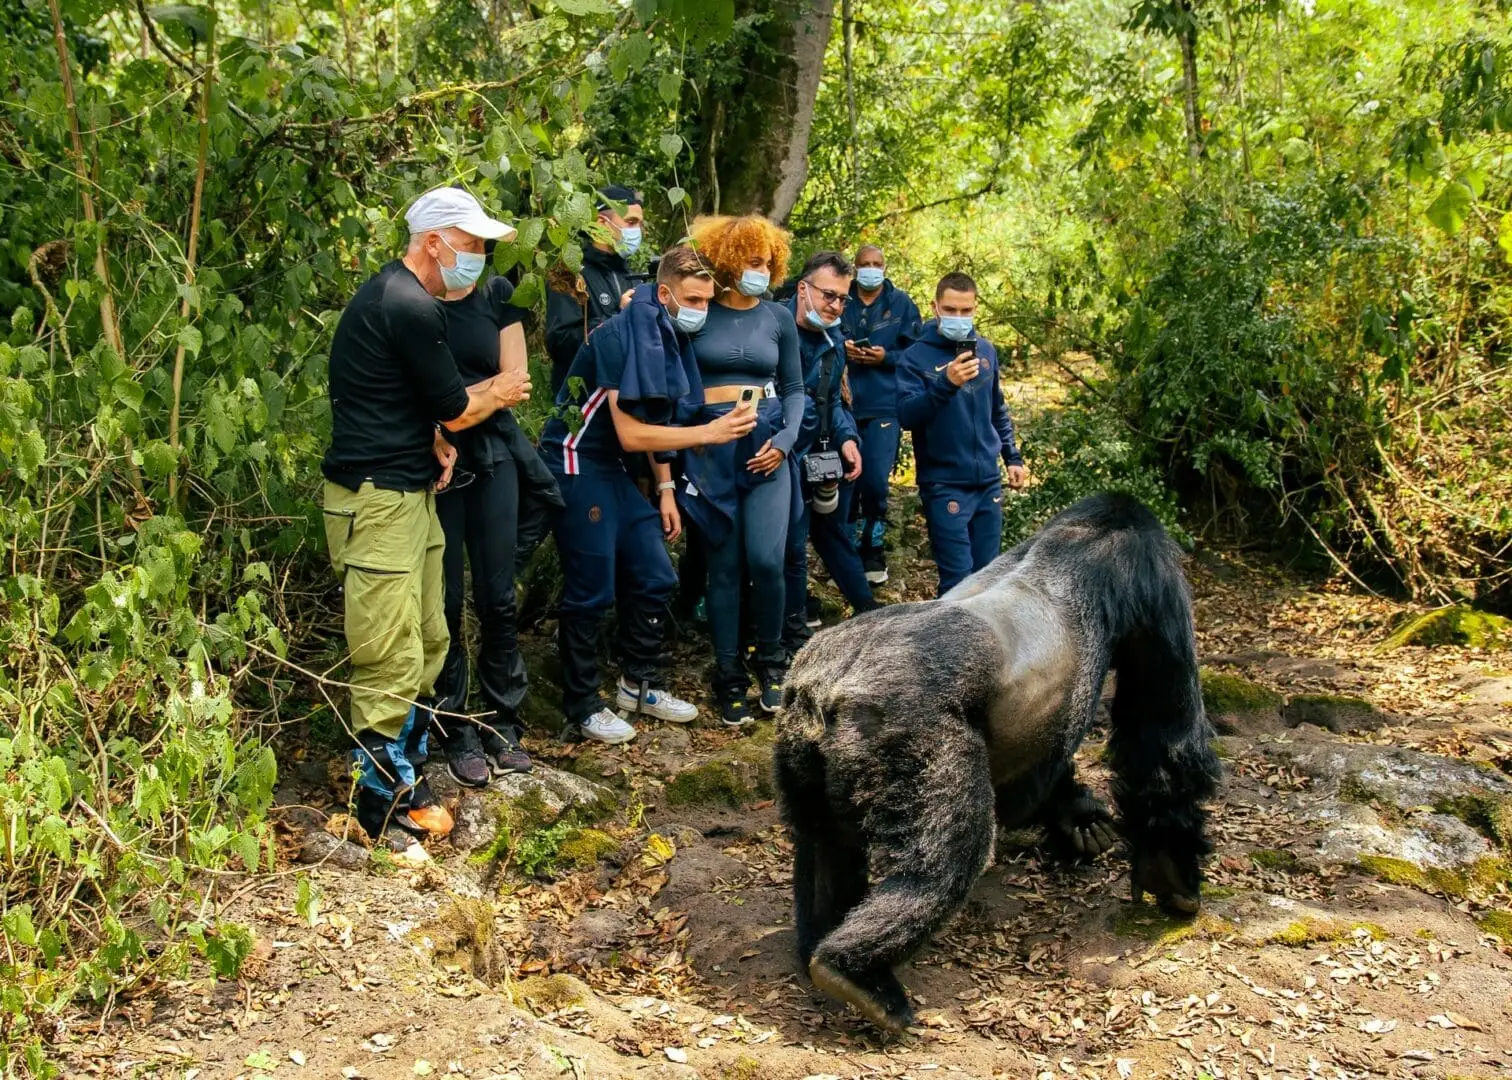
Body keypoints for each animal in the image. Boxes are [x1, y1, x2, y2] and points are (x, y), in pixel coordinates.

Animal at [774, 493, 1220, 1034]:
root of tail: (828, 680)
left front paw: (1079, 818)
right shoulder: (1151, 579)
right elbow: (1162, 736)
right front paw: (1170, 868)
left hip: (799, 734)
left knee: (825, 839)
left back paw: (824, 944)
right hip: (908, 728)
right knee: (948, 857)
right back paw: (856, 972)